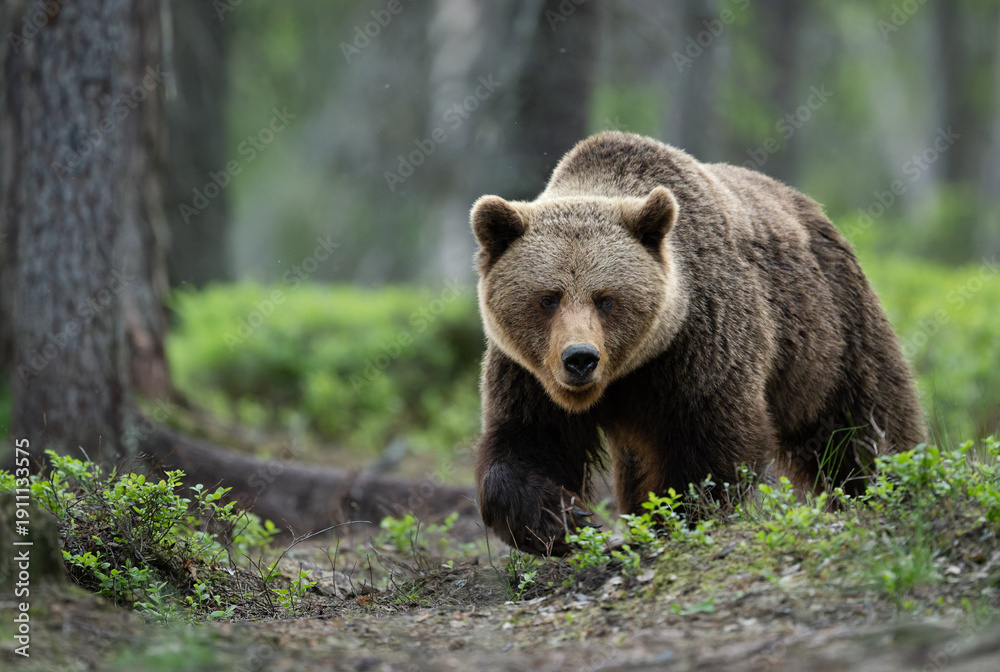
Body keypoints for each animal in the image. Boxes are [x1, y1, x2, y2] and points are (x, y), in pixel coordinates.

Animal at [469, 131, 926, 556]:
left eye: (606, 298)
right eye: (548, 298)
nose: (580, 358)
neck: (628, 370)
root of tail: (813, 209)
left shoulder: (700, 341)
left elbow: (711, 440)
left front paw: (676, 517)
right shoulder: (528, 370)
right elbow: (526, 441)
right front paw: (562, 519)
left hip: (830, 331)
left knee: (862, 420)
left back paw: (891, 482)